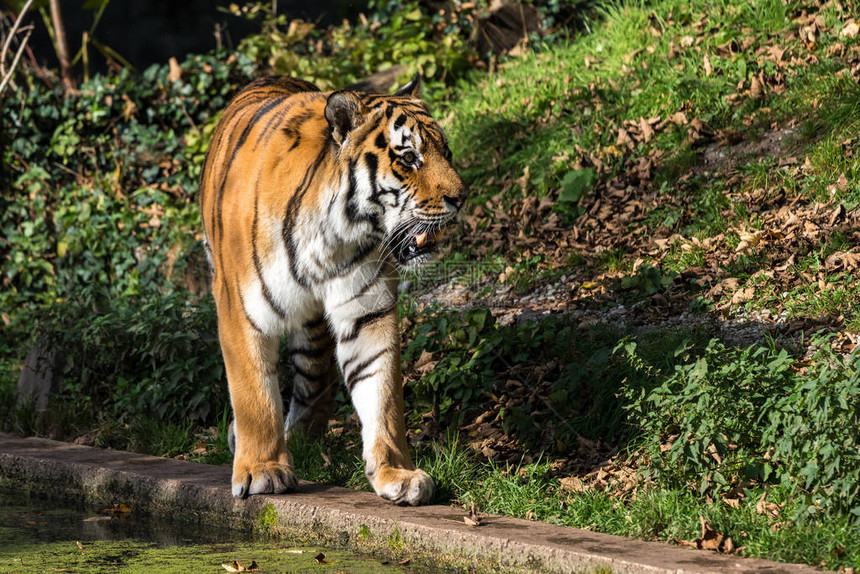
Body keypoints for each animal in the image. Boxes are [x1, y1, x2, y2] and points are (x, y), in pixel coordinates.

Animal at [197, 73, 464, 508]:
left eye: (447, 151)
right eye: (409, 158)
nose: (461, 198)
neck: (334, 233)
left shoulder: (368, 311)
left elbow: (382, 395)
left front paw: (397, 474)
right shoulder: (240, 309)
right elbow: (254, 394)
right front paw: (262, 471)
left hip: (311, 329)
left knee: (315, 379)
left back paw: (304, 438)